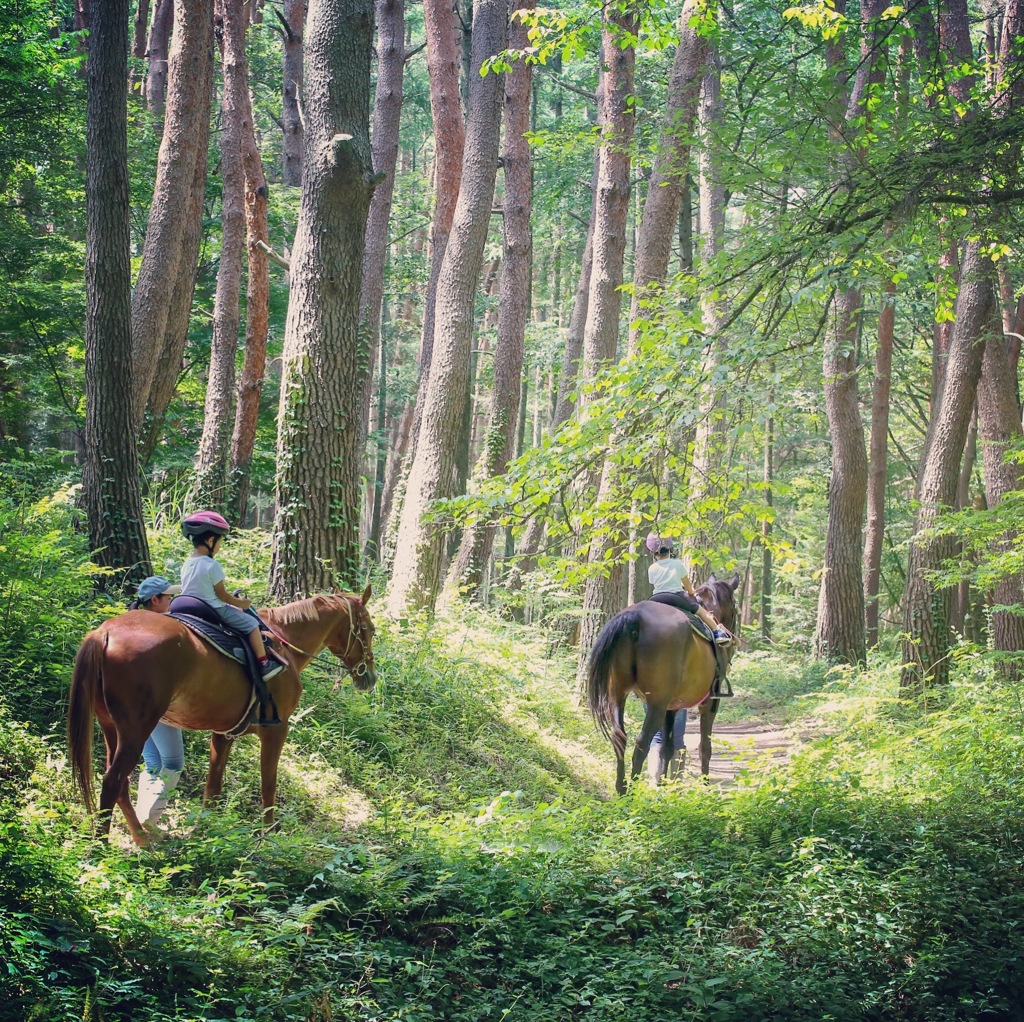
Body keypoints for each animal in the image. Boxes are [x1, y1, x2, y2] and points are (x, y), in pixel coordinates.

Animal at [69, 589, 380, 843]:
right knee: (113, 781)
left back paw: (142, 837)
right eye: (370, 629)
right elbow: (268, 785)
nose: (370, 677)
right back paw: (104, 847)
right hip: (136, 731)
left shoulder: (223, 734)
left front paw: (208, 832)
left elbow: (212, 790)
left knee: (118, 782)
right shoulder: (276, 731)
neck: (284, 641)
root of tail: (104, 633)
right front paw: (269, 833)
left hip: (111, 727)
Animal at [585, 573, 737, 794]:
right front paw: (705, 786)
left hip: (618, 695)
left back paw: (621, 788)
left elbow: (667, 748)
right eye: (735, 605)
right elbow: (704, 747)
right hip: (656, 704)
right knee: (641, 743)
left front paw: (665, 786)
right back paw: (632, 793)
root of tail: (635, 617)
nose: (731, 635)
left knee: (619, 737)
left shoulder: (671, 707)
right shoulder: (709, 703)